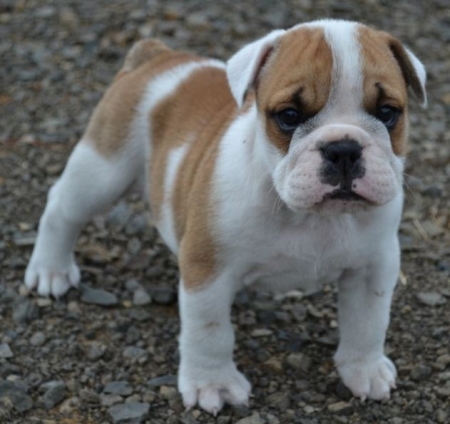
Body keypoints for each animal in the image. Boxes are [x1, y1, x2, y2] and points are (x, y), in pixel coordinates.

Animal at [24, 19, 426, 414]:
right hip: (103, 169)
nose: (343, 148)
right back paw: (51, 269)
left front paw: (364, 370)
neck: (309, 216)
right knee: (63, 208)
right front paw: (212, 383)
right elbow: (210, 331)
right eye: (289, 116)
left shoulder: (373, 267)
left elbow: (368, 322)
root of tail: (157, 56)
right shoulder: (207, 270)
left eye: (388, 113)